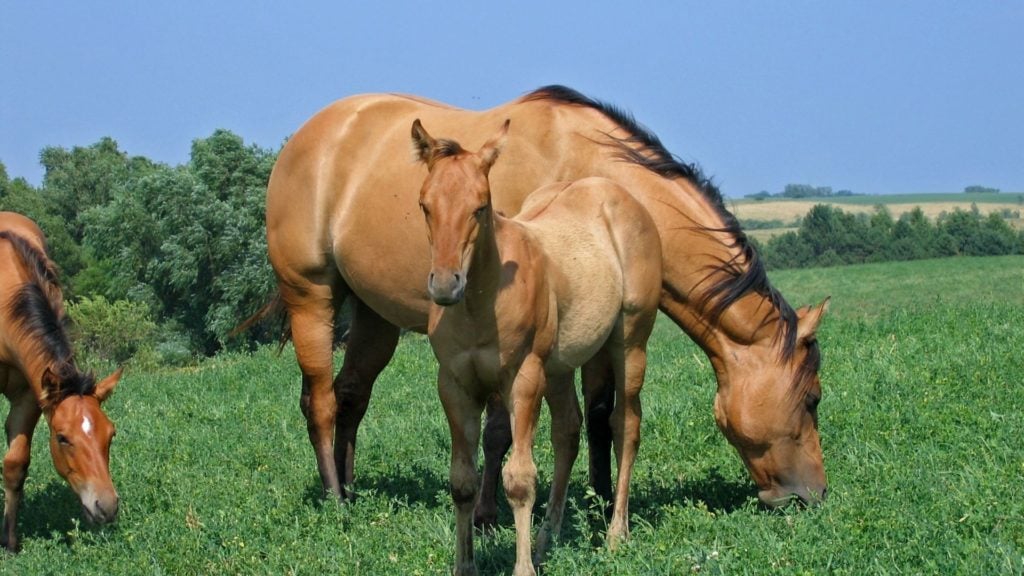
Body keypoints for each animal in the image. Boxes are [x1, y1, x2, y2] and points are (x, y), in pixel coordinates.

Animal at [0, 211, 121, 545]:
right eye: (63, 438)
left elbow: (15, 464)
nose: (106, 506)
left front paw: (10, 542)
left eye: (111, 434)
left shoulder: (31, 393)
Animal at [262, 84, 823, 520]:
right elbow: (498, 430)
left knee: (351, 395)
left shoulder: (594, 328)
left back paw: (352, 489)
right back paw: (335, 500)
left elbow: (600, 413)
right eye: (813, 399)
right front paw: (487, 515)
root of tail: (309, 137)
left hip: (374, 316)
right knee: (320, 401)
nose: (814, 494)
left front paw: (599, 499)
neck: (592, 174)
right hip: (311, 296)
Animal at [415, 118, 663, 569]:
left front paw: (524, 566)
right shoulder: (455, 385)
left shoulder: (524, 378)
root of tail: (620, 196)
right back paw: (549, 535)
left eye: (480, 206)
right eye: (426, 205)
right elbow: (462, 480)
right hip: (560, 368)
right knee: (568, 431)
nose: (444, 285)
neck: (481, 304)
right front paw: (465, 565)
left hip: (630, 343)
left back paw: (616, 533)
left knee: (626, 424)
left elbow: (519, 480)